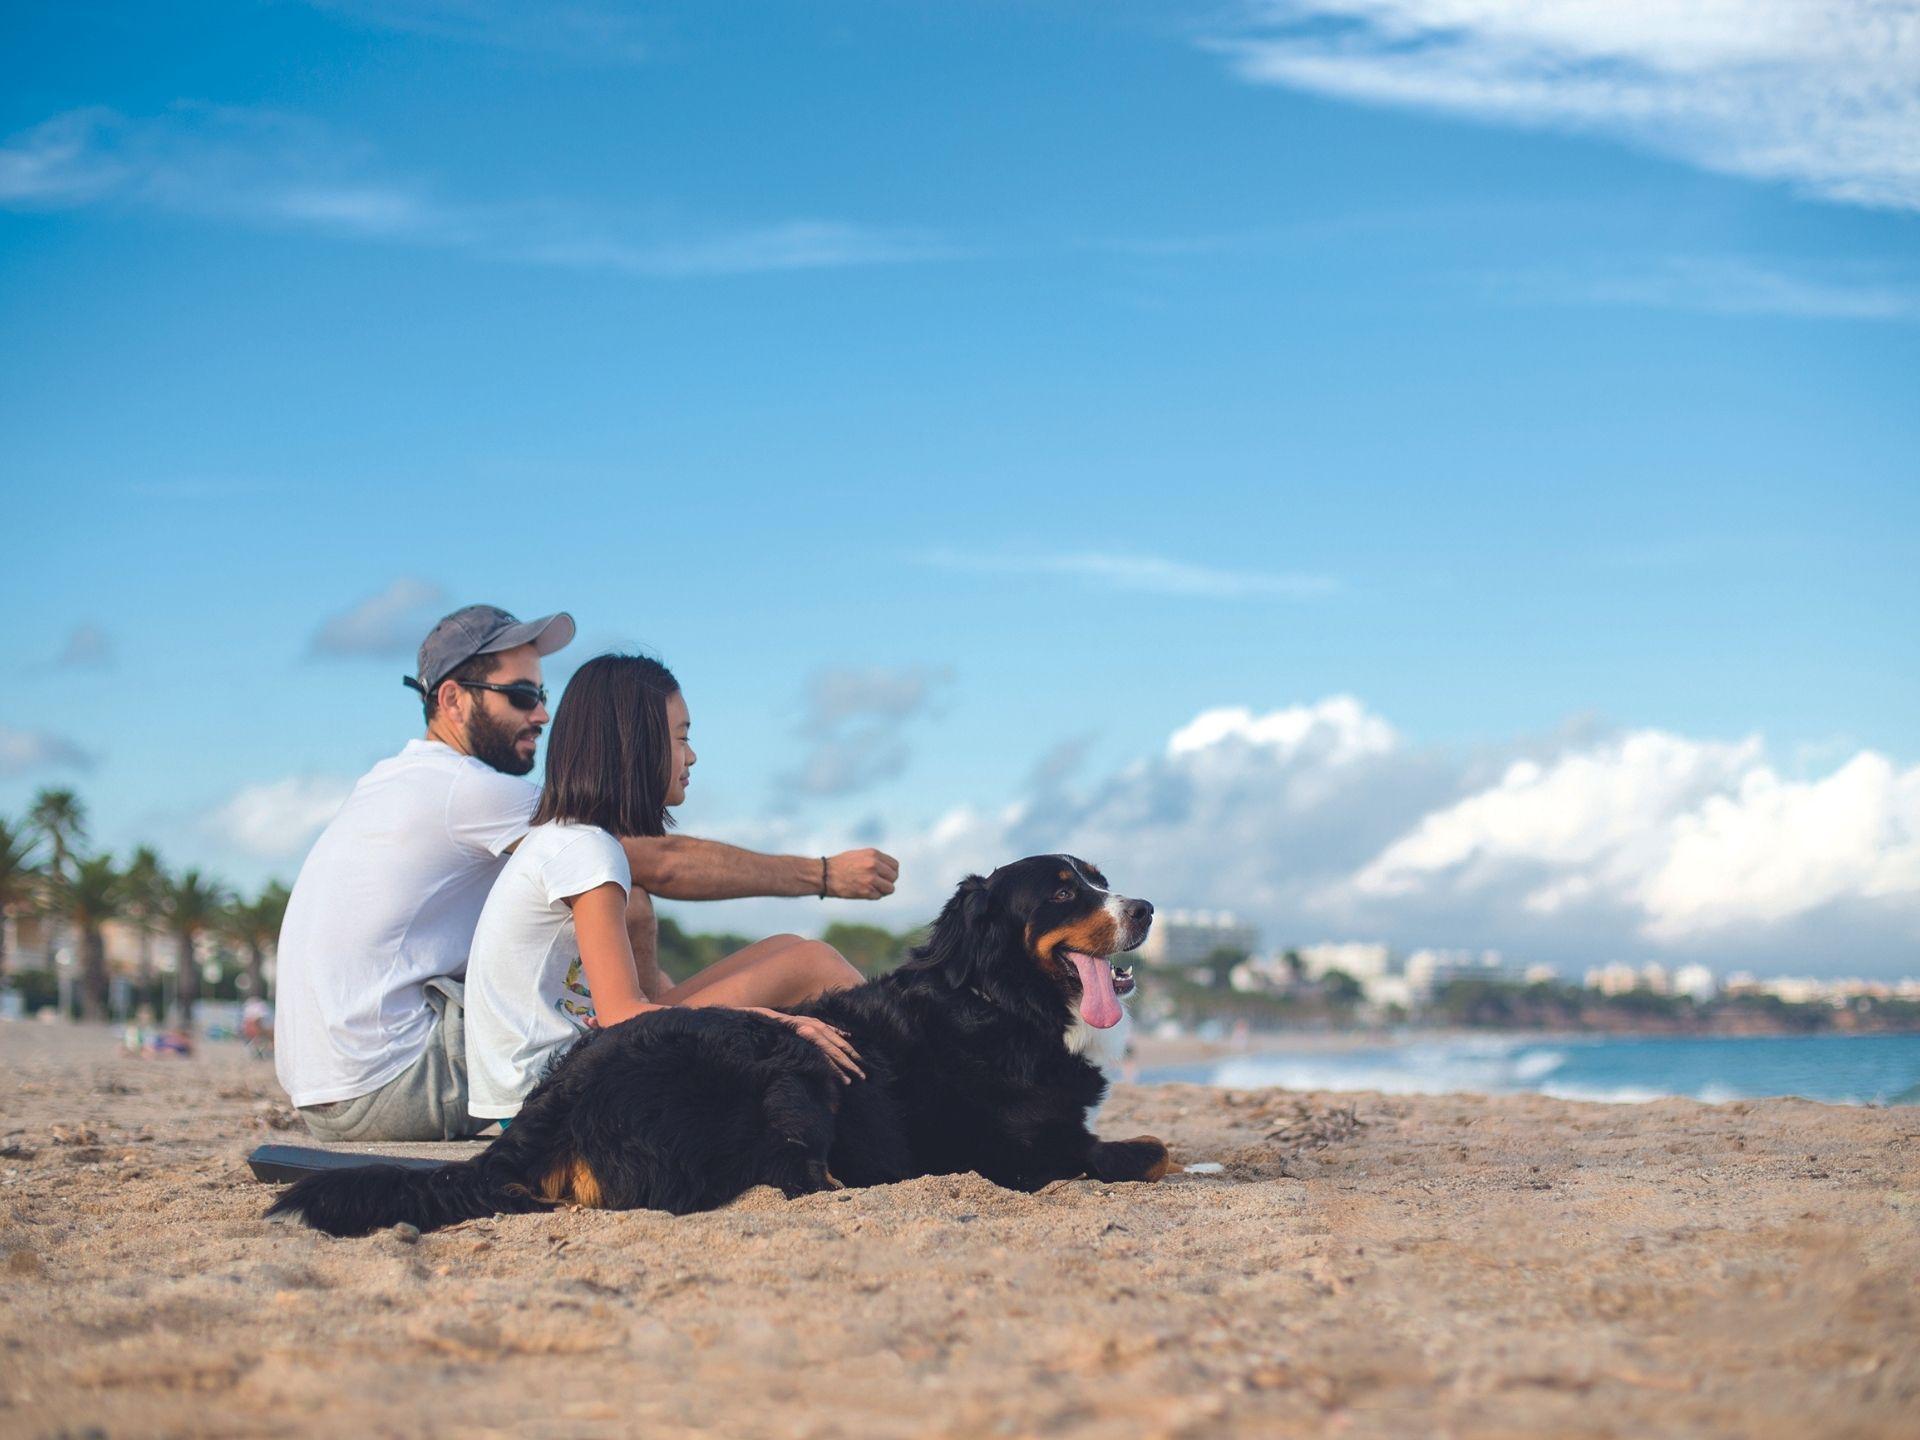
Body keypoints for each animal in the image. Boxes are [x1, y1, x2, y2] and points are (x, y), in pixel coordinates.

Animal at [266, 856, 1167, 1244]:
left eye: (1098, 875)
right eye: (1063, 889)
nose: (1148, 906)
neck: (994, 999)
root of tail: (556, 1098)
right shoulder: (1026, 1155)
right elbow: (1144, 1149)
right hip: (783, 1058)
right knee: (791, 1179)